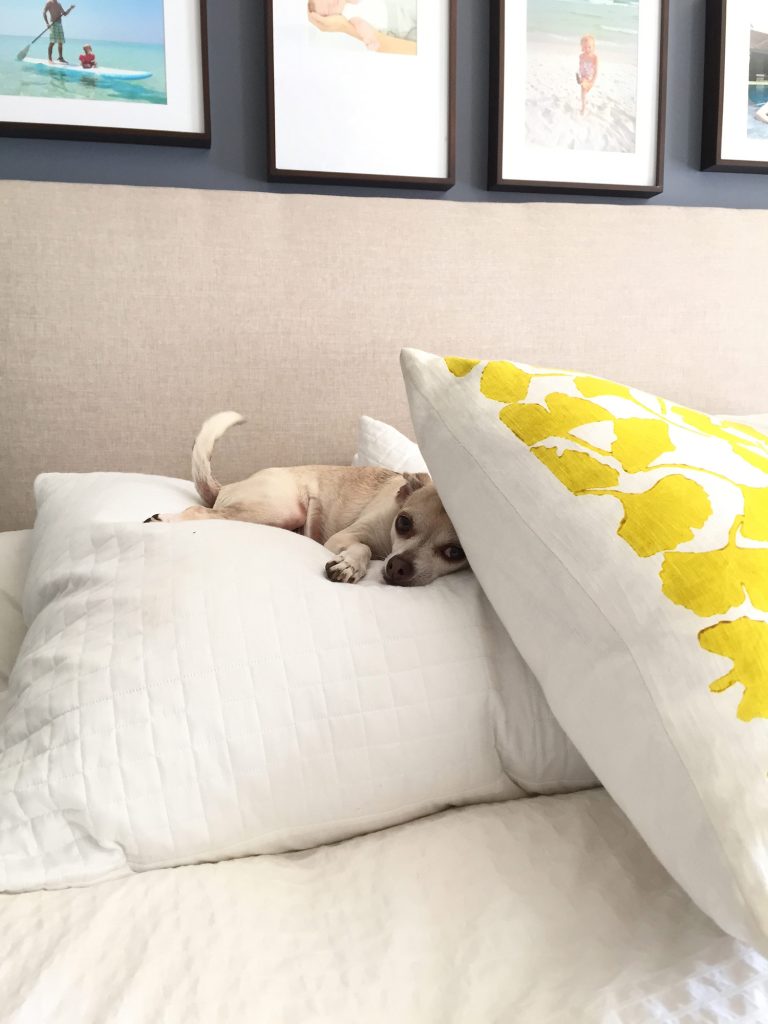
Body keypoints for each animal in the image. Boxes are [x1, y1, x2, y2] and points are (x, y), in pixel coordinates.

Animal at [144, 407, 468, 585]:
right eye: (403, 523)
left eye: (456, 552)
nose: (398, 566)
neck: (387, 544)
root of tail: (225, 487)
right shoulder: (343, 538)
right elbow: (361, 548)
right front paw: (350, 564)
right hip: (281, 509)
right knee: (199, 512)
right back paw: (166, 519)